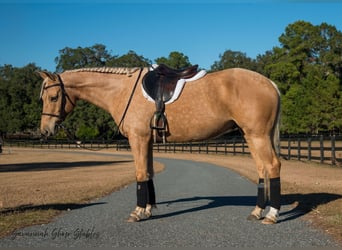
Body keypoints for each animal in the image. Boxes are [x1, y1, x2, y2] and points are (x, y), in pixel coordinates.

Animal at [38, 66, 282, 225]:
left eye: (53, 97)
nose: (45, 130)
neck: (122, 90)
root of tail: (270, 83)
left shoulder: (138, 138)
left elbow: (140, 173)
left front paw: (137, 212)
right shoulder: (146, 140)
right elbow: (149, 173)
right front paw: (148, 209)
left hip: (258, 135)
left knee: (272, 166)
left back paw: (272, 215)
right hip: (251, 135)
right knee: (262, 169)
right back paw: (257, 211)